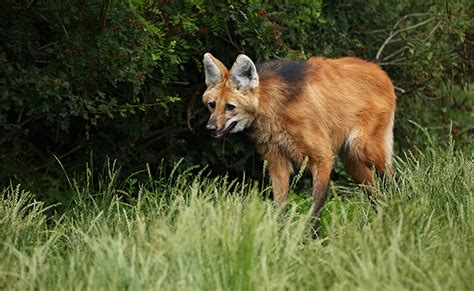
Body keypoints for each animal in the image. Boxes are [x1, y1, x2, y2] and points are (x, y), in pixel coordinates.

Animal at [202, 53, 394, 216]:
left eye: (230, 107)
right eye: (212, 105)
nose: (210, 128)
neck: (275, 108)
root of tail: (381, 71)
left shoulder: (322, 158)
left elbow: (315, 209)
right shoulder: (276, 160)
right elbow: (280, 205)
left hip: (362, 147)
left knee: (391, 177)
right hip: (352, 161)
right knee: (376, 193)